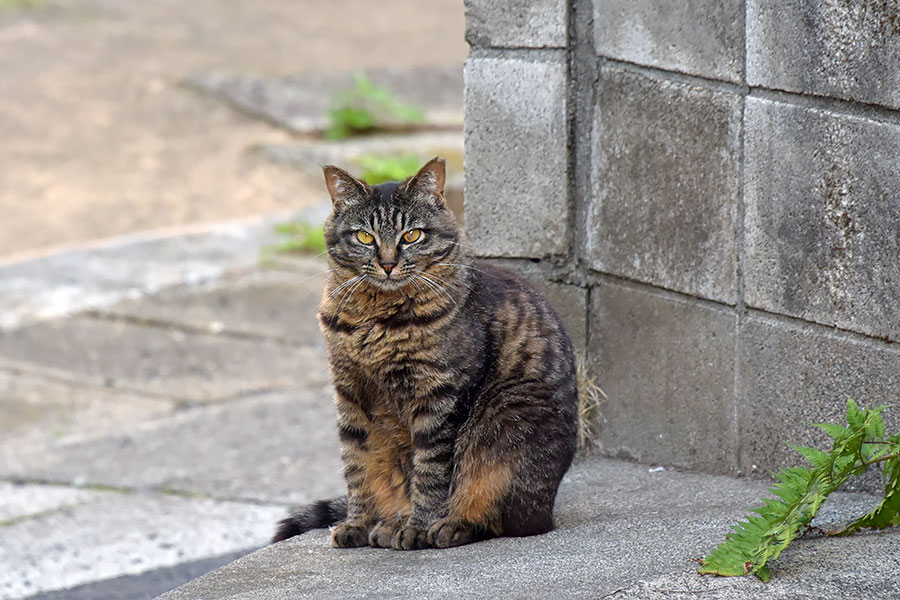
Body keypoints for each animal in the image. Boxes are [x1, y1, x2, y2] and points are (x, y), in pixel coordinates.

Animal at [274, 158, 580, 548]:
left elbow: (430, 472)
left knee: (502, 516)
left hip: (507, 424)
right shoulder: (349, 393)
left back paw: (452, 525)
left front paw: (418, 527)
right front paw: (359, 523)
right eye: (364, 237)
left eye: (411, 236)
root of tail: (549, 512)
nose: (388, 263)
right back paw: (387, 525)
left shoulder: (440, 398)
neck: (375, 316)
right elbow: (357, 465)